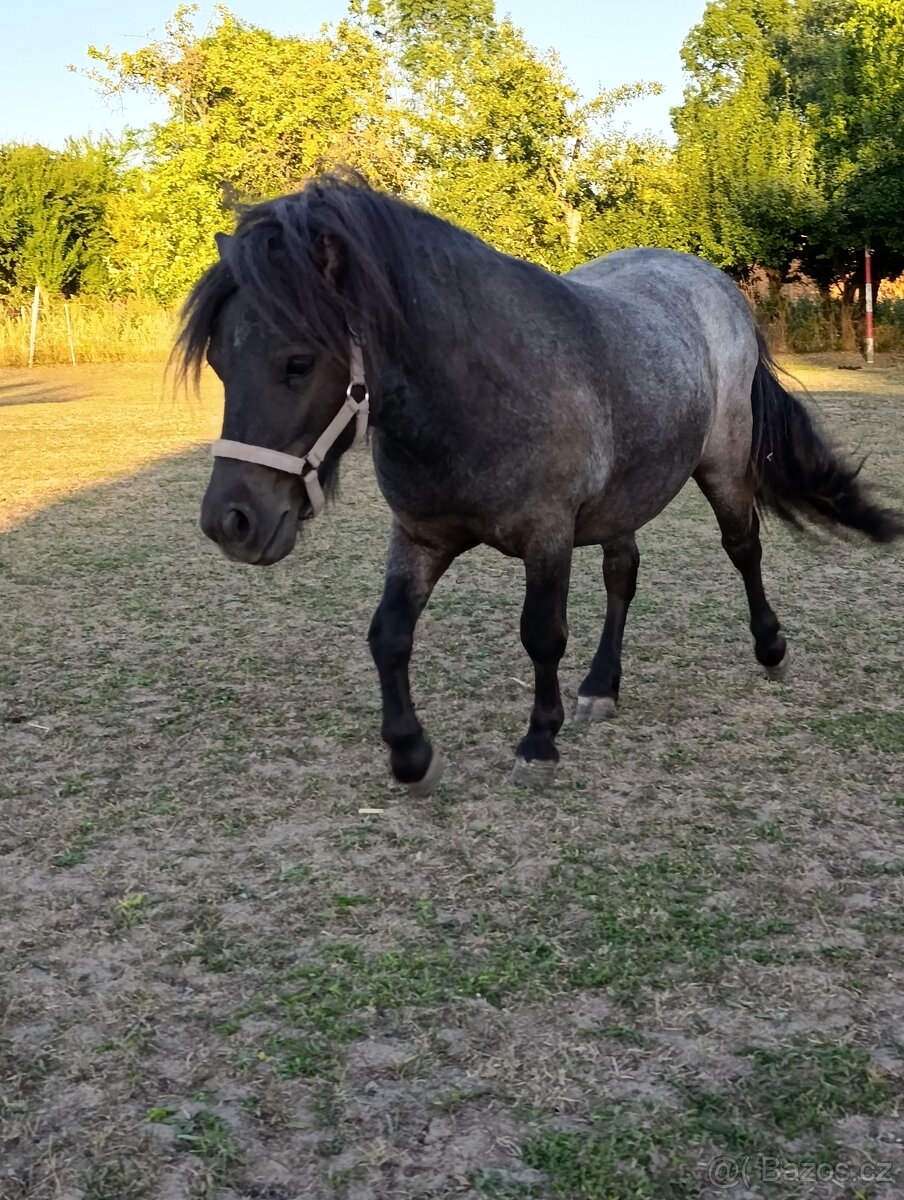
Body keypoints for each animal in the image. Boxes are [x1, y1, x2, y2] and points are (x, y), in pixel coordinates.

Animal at [178, 174, 903, 795]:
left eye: (298, 363)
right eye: (219, 362)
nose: (231, 521)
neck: (479, 391)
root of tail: (717, 286)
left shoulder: (547, 537)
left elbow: (542, 634)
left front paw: (537, 742)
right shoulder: (420, 536)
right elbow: (388, 635)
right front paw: (411, 754)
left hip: (721, 467)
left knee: (742, 547)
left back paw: (771, 648)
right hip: (623, 499)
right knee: (623, 574)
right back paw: (602, 685)